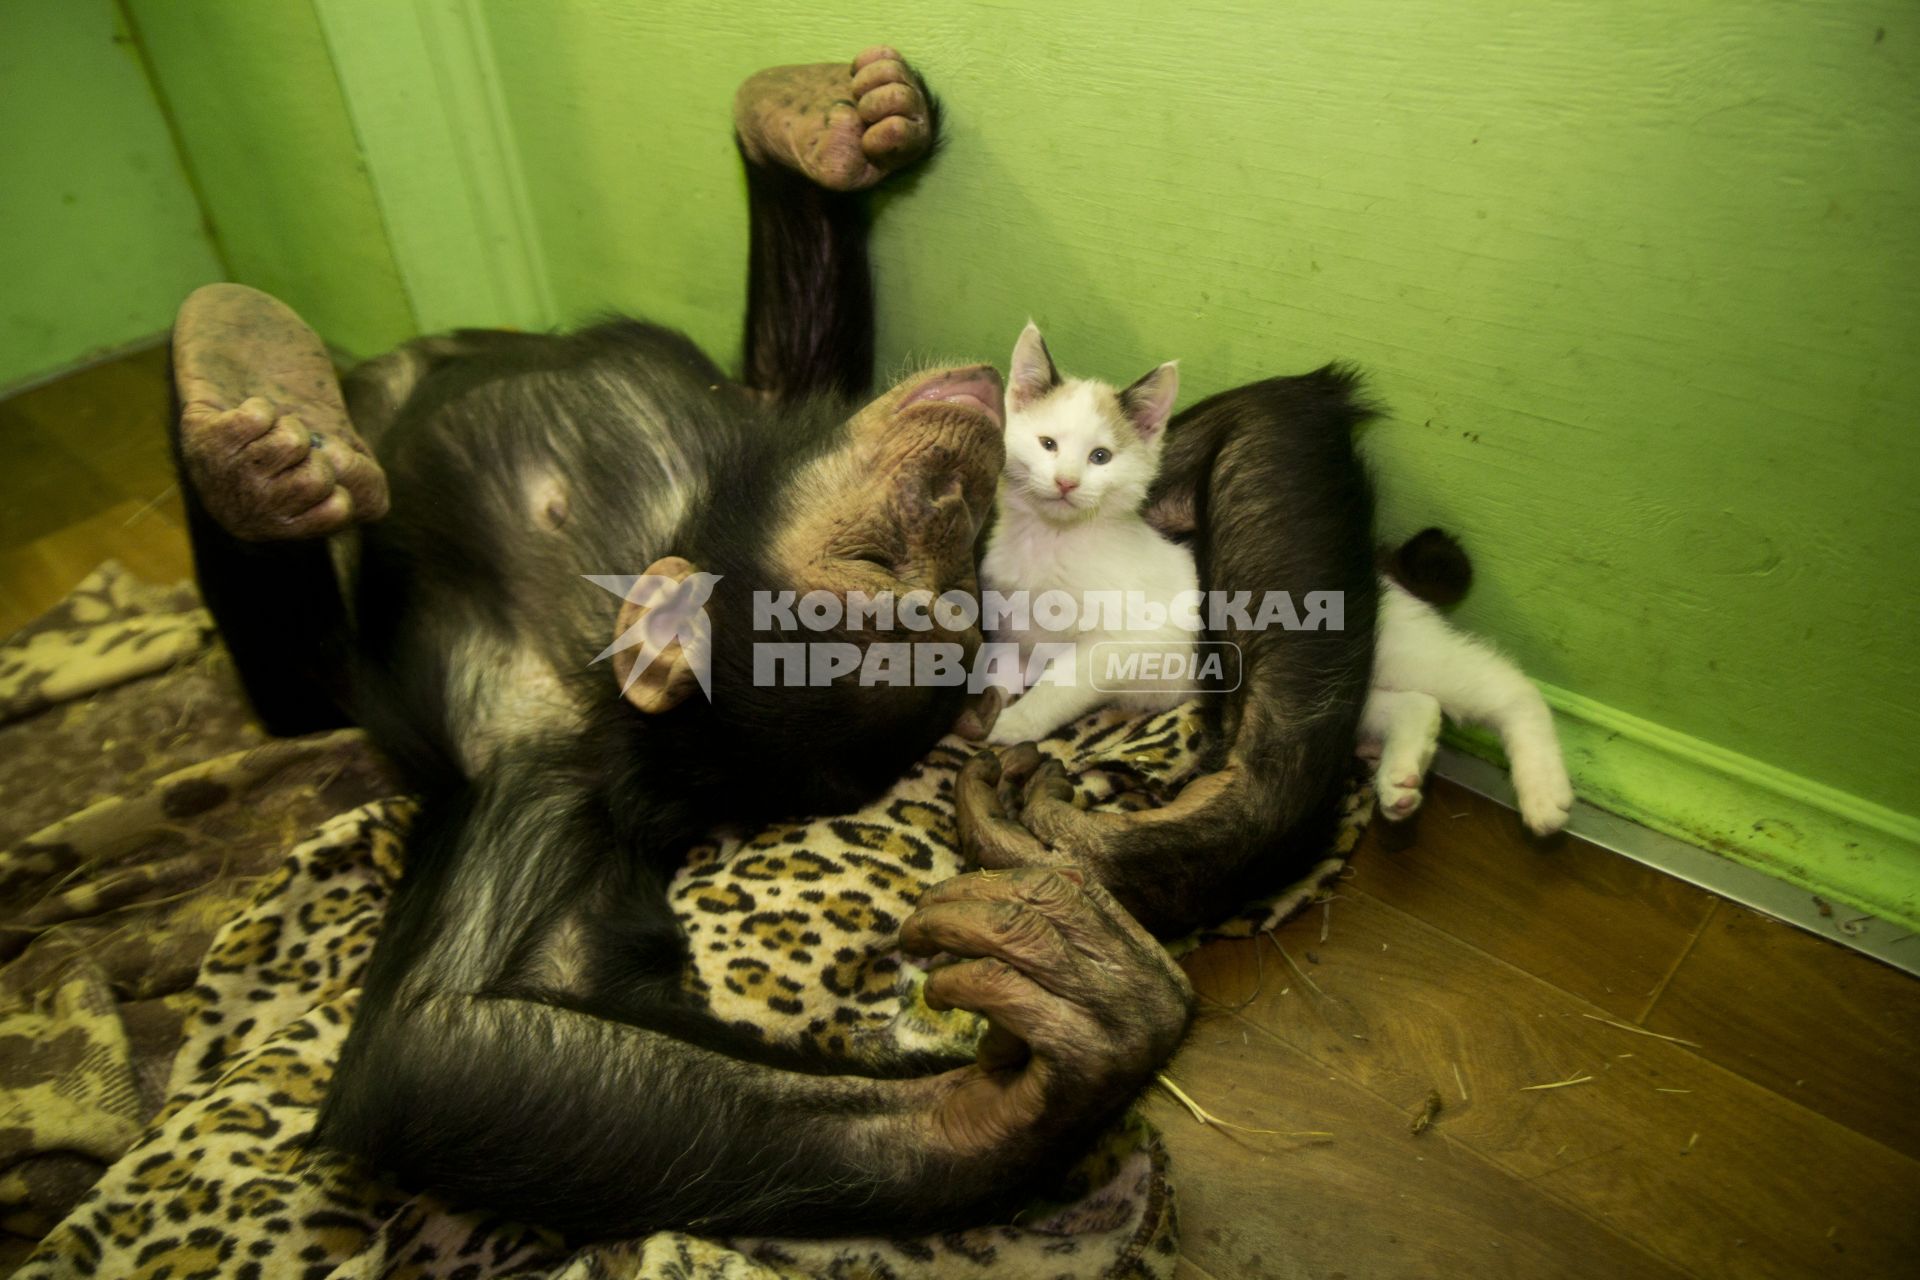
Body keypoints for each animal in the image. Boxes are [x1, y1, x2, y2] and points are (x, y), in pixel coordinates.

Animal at [161, 50, 1367, 1243]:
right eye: (880, 565)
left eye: (953, 600)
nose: (954, 489)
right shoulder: (540, 780)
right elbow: (448, 1039)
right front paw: (1010, 1091)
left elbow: (1247, 429)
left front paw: (1144, 871)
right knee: (298, 680)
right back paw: (258, 446)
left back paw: (806, 128)